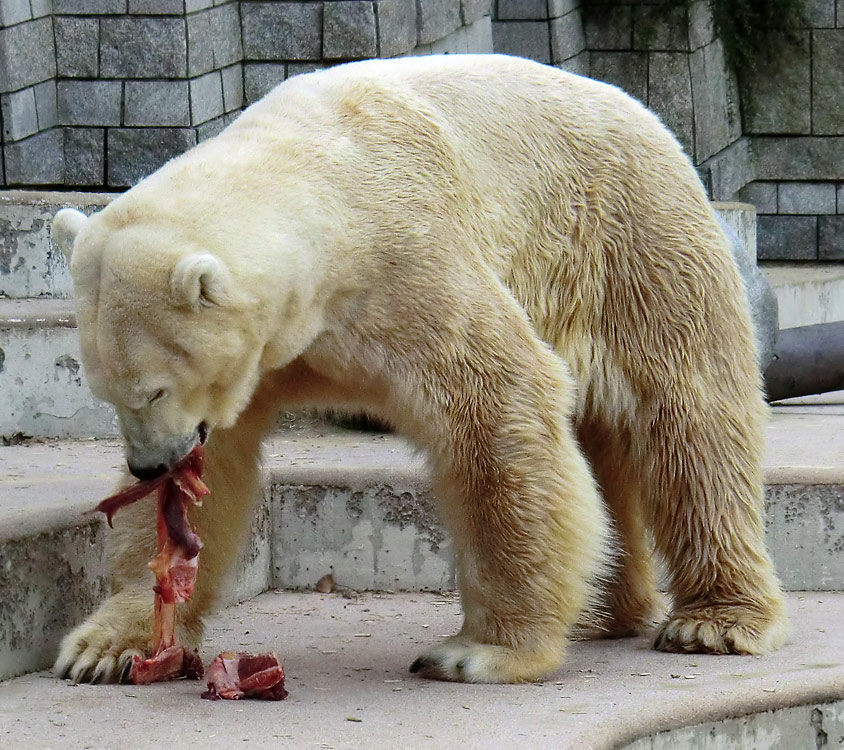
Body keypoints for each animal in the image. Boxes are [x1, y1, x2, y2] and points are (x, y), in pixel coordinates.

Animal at [51, 54, 784, 688]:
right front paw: (109, 644)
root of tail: (645, 114)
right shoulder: (266, 352)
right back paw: (603, 610)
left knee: (690, 419)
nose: (150, 464)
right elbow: (216, 468)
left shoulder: (406, 262)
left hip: (635, 242)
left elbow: (497, 404)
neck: (317, 179)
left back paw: (715, 621)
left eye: (153, 389)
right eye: (104, 392)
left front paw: (481, 652)